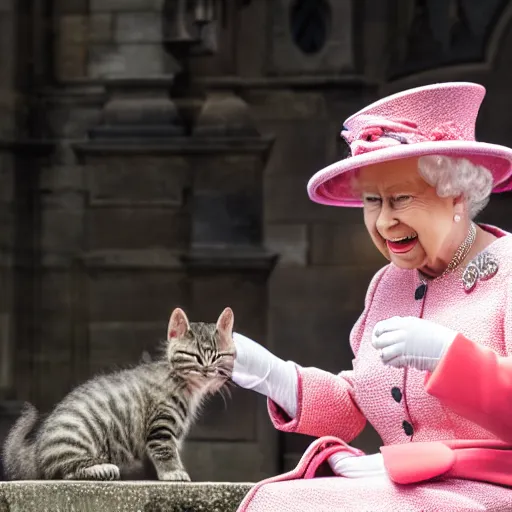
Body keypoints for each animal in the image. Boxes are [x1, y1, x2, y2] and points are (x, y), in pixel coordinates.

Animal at [3, 306, 235, 482]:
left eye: (218, 357)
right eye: (194, 357)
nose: (207, 370)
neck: (185, 384)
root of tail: (35, 452)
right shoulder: (161, 425)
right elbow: (164, 450)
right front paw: (173, 472)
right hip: (73, 438)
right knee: (64, 471)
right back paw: (100, 468)